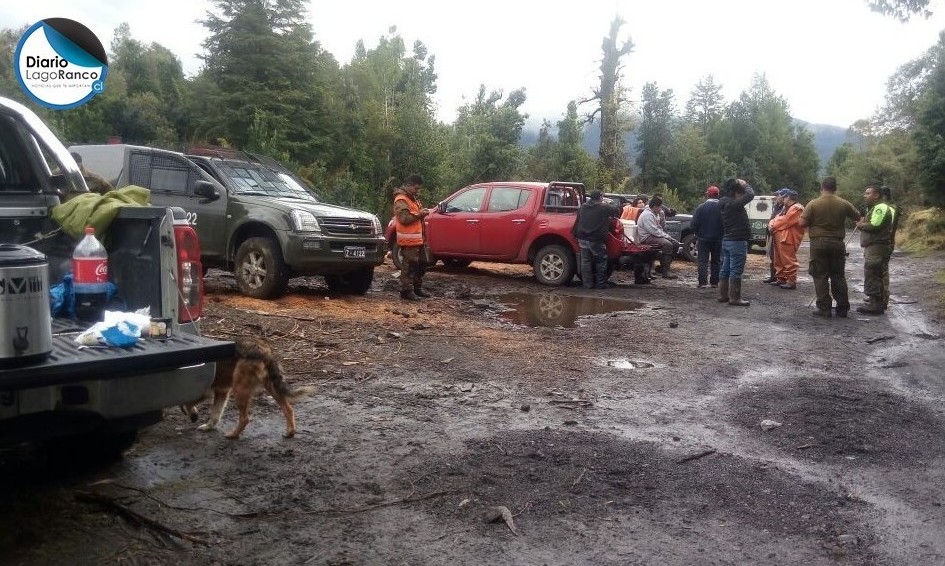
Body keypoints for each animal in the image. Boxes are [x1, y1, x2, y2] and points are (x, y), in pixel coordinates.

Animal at [183, 338, 316, 440]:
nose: (193, 419)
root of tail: (263, 349)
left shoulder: (206, 392)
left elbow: (189, 403)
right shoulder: (222, 391)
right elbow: (215, 414)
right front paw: (208, 426)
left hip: (239, 390)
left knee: (245, 419)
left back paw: (233, 435)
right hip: (270, 386)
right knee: (288, 409)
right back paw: (290, 432)